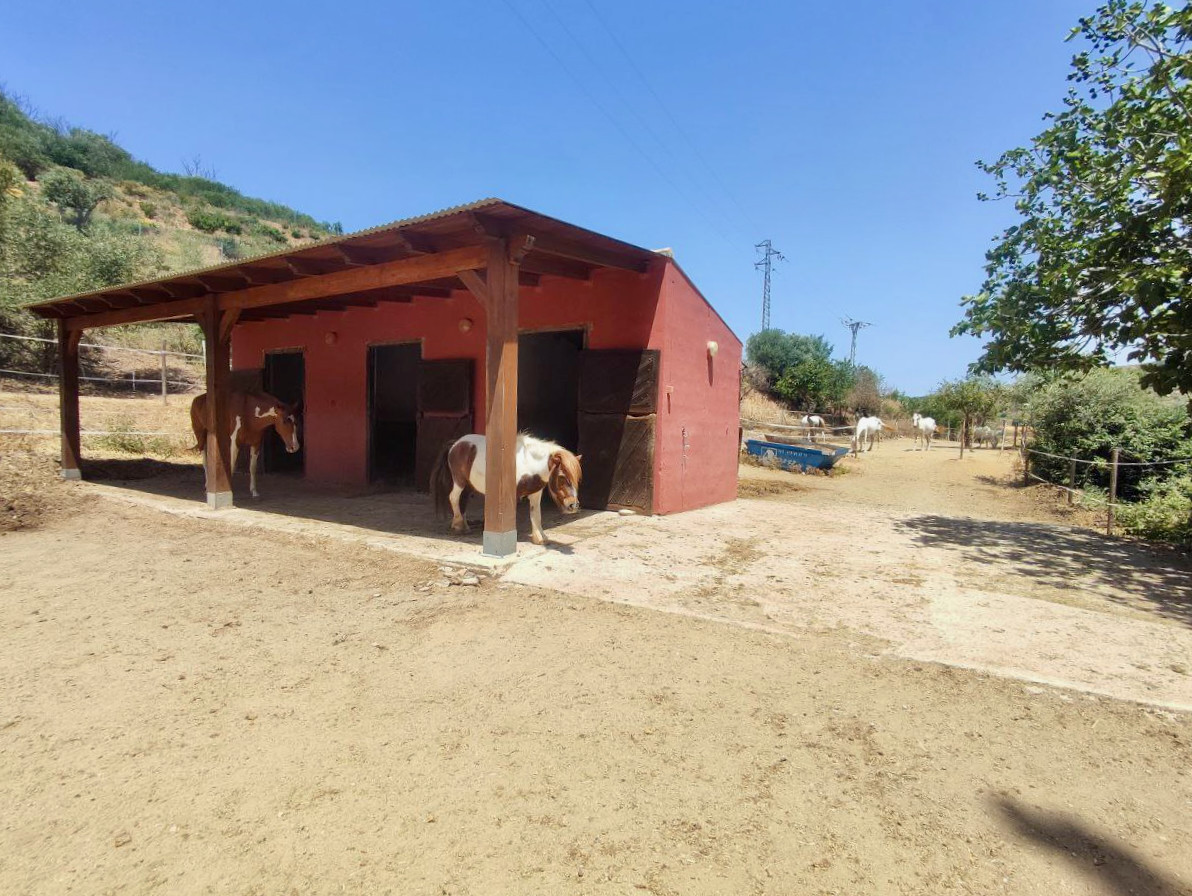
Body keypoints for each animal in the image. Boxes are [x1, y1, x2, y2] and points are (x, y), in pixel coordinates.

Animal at [431, 433, 584, 545]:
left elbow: (536, 515)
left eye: (576, 478)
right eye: (562, 477)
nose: (573, 505)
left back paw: (464, 526)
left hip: (468, 485)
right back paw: (458, 525)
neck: (528, 463)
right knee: (453, 497)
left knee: (462, 501)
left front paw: (540, 538)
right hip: (459, 481)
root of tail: (456, 443)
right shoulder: (512, 495)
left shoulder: (535, 494)